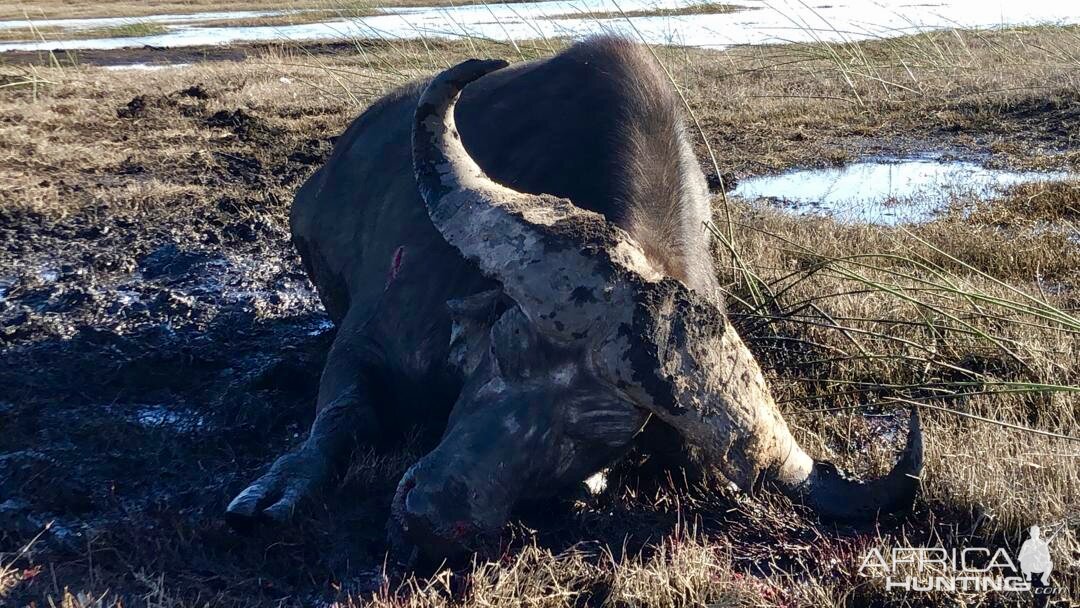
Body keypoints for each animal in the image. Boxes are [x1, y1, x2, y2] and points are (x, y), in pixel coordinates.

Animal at [225, 35, 920, 561]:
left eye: (596, 433)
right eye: (505, 348)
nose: (429, 515)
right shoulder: (367, 342)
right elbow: (342, 414)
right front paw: (278, 488)